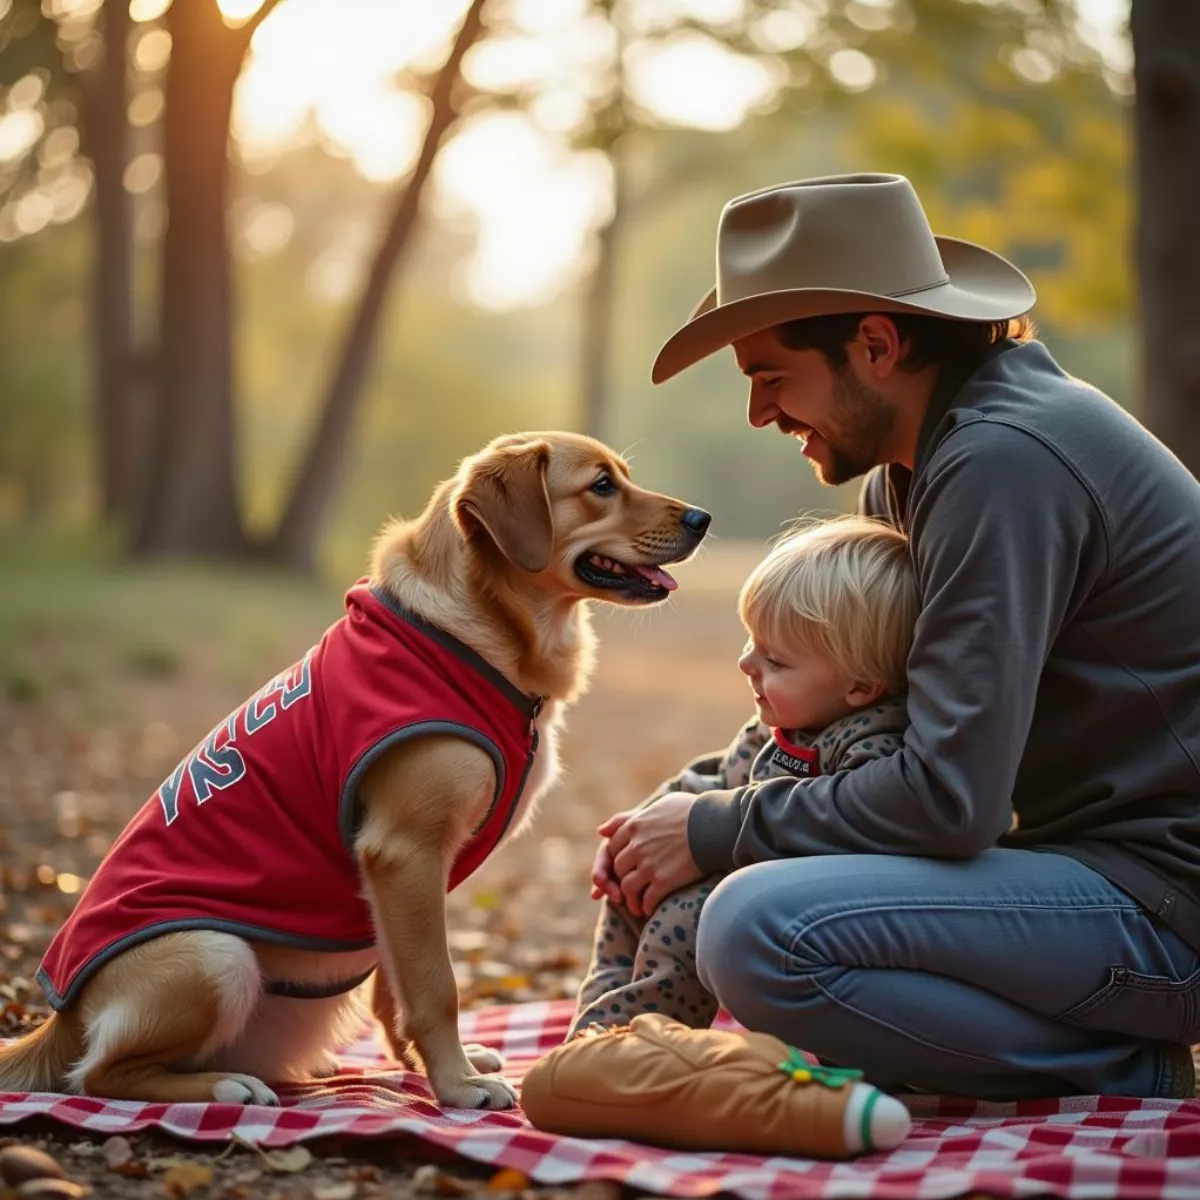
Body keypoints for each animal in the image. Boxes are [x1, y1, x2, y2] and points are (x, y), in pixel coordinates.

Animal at [0, 429, 705, 1104]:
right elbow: (438, 987)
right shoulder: (406, 854)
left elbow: (399, 994)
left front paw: (430, 1072)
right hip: (215, 955)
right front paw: (457, 1087)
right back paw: (228, 1086)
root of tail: (57, 1017)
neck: (466, 638)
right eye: (601, 485)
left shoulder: (401, 885)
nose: (704, 516)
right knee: (97, 1075)